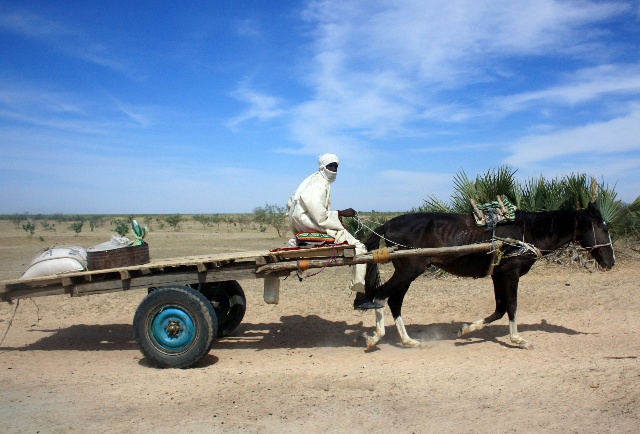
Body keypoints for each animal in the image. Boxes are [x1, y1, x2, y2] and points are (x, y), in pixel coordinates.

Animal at [362, 203, 612, 350]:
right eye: (604, 229)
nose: (611, 262)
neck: (525, 233)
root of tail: (390, 222)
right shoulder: (511, 273)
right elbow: (511, 306)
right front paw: (518, 339)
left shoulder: (498, 275)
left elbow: (500, 309)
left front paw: (466, 329)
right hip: (408, 271)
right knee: (381, 296)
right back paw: (375, 338)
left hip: (408, 273)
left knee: (394, 301)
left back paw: (407, 340)